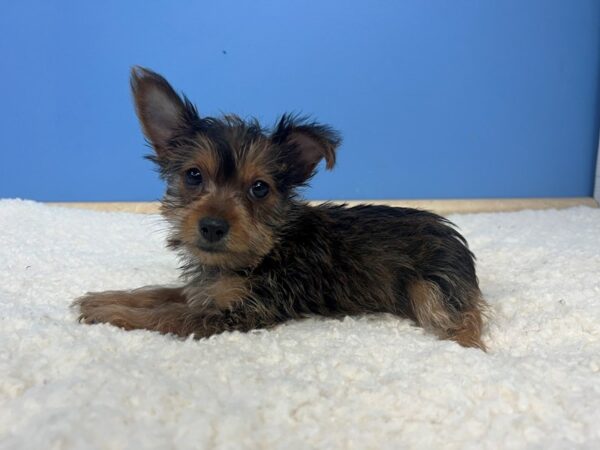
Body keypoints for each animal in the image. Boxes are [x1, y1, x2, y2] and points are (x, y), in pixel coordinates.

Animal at [74, 67, 488, 350]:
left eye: (259, 188)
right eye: (193, 176)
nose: (212, 226)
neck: (266, 247)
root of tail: (452, 233)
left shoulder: (245, 310)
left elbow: (171, 314)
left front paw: (111, 314)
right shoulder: (208, 290)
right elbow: (162, 292)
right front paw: (105, 298)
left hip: (432, 288)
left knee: (461, 318)